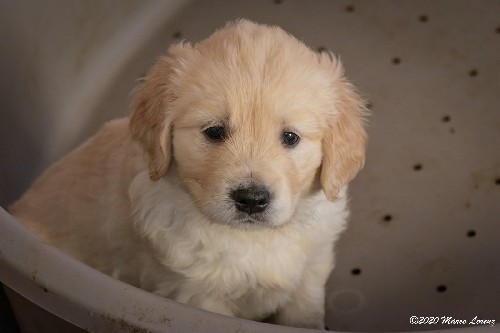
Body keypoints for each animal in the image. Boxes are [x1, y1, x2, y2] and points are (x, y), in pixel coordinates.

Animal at [10, 19, 368, 328]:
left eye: (291, 137)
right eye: (214, 132)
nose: (251, 200)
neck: (251, 238)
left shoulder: (311, 271)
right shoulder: (197, 296)